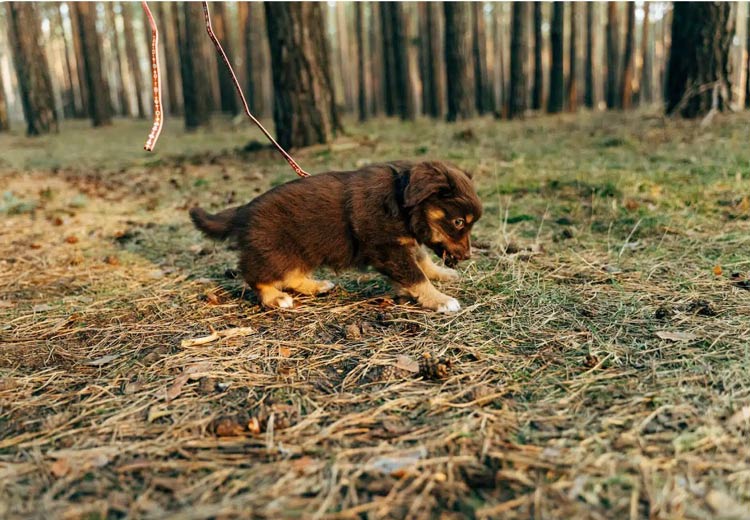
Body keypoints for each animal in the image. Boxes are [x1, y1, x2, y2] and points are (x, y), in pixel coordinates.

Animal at [191, 160, 484, 310]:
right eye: (458, 222)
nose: (468, 256)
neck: (401, 198)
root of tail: (244, 210)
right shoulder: (388, 248)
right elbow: (415, 275)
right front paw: (440, 300)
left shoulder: (403, 241)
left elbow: (421, 259)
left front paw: (441, 274)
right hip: (275, 251)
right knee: (256, 276)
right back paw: (275, 298)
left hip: (302, 250)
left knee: (291, 275)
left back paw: (316, 285)